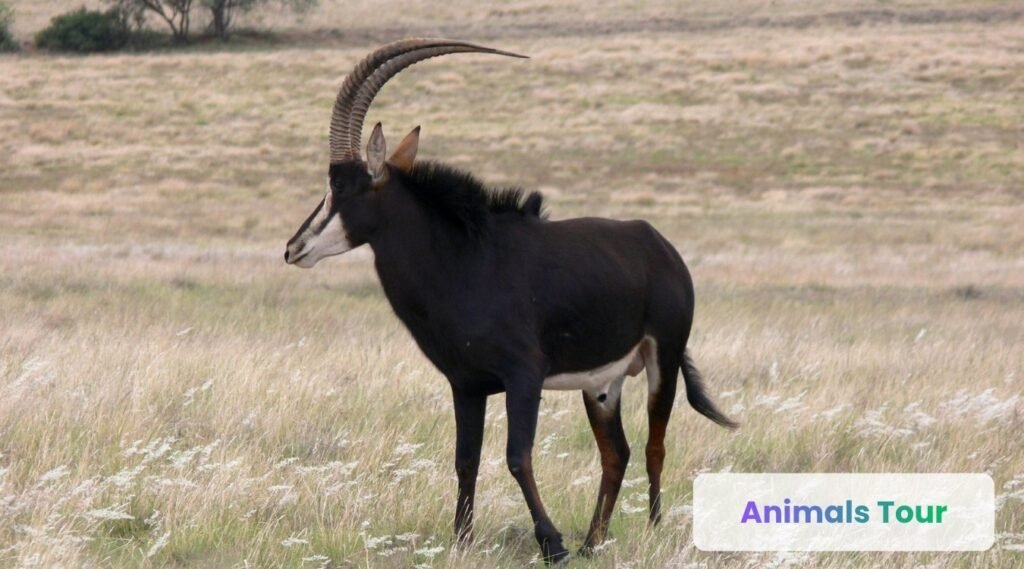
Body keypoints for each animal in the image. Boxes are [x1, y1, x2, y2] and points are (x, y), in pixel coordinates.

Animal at [284, 38, 737, 564]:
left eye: (339, 185)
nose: (294, 248)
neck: (465, 259)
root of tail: (660, 246)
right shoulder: (466, 385)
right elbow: (466, 460)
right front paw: (462, 540)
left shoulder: (524, 376)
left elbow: (517, 457)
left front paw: (552, 543)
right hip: (601, 384)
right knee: (616, 453)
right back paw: (593, 542)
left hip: (663, 359)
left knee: (654, 447)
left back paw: (650, 530)